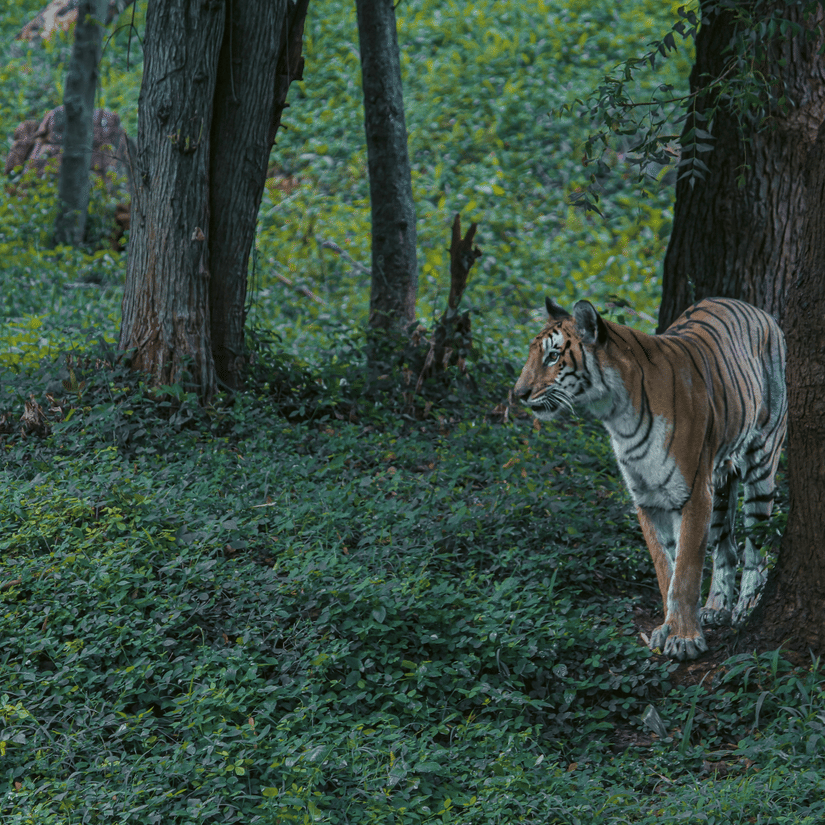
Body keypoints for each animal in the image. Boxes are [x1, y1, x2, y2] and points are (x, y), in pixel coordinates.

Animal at [513, 297, 787, 660]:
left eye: (553, 356)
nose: (518, 393)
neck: (617, 415)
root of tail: (757, 309)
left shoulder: (693, 494)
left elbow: (685, 572)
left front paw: (685, 639)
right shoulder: (647, 499)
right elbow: (665, 569)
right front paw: (668, 629)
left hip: (762, 460)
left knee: (758, 544)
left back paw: (746, 608)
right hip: (719, 481)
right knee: (725, 548)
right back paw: (716, 608)